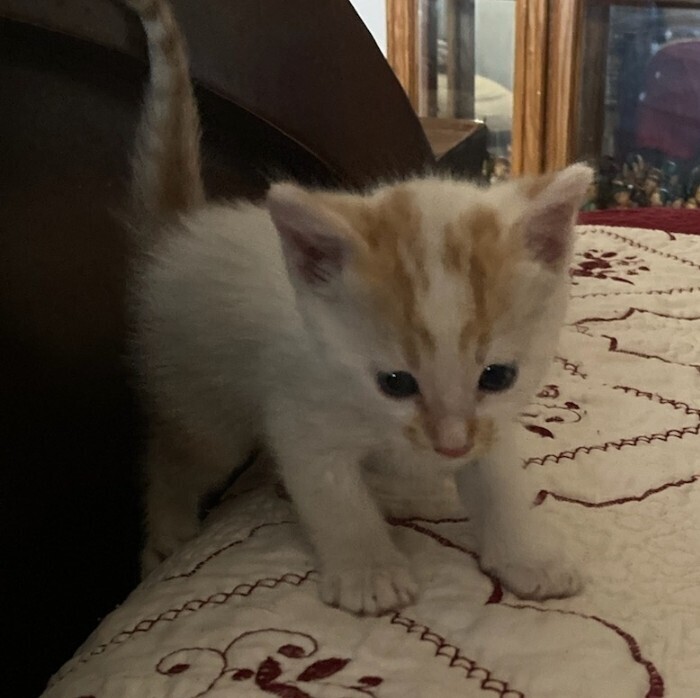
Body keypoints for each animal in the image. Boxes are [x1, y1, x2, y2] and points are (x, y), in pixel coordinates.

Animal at [124, 0, 592, 612]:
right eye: (395, 383)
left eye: (497, 376)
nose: (450, 445)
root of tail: (182, 232)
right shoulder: (300, 414)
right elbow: (334, 498)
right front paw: (369, 570)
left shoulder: (494, 420)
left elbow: (498, 478)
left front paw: (526, 554)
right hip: (202, 394)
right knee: (179, 451)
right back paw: (169, 529)